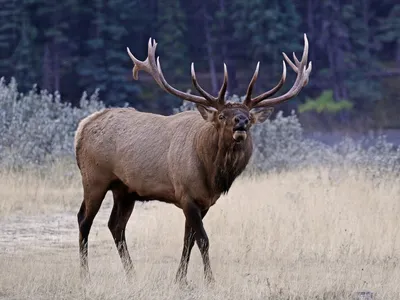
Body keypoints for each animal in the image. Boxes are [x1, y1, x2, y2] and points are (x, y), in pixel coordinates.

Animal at [75, 34, 312, 284]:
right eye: (222, 115)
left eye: (249, 116)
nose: (241, 121)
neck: (211, 174)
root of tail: (82, 127)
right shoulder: (186, 195)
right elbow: (203, 240)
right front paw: (210, 280)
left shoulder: (204, 201)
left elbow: (188, 240)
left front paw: (180, 279)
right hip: (94, 178)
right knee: (84, 219)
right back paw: (85, 275)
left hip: (125, 189)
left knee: (115, 225)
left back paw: (132, 275)